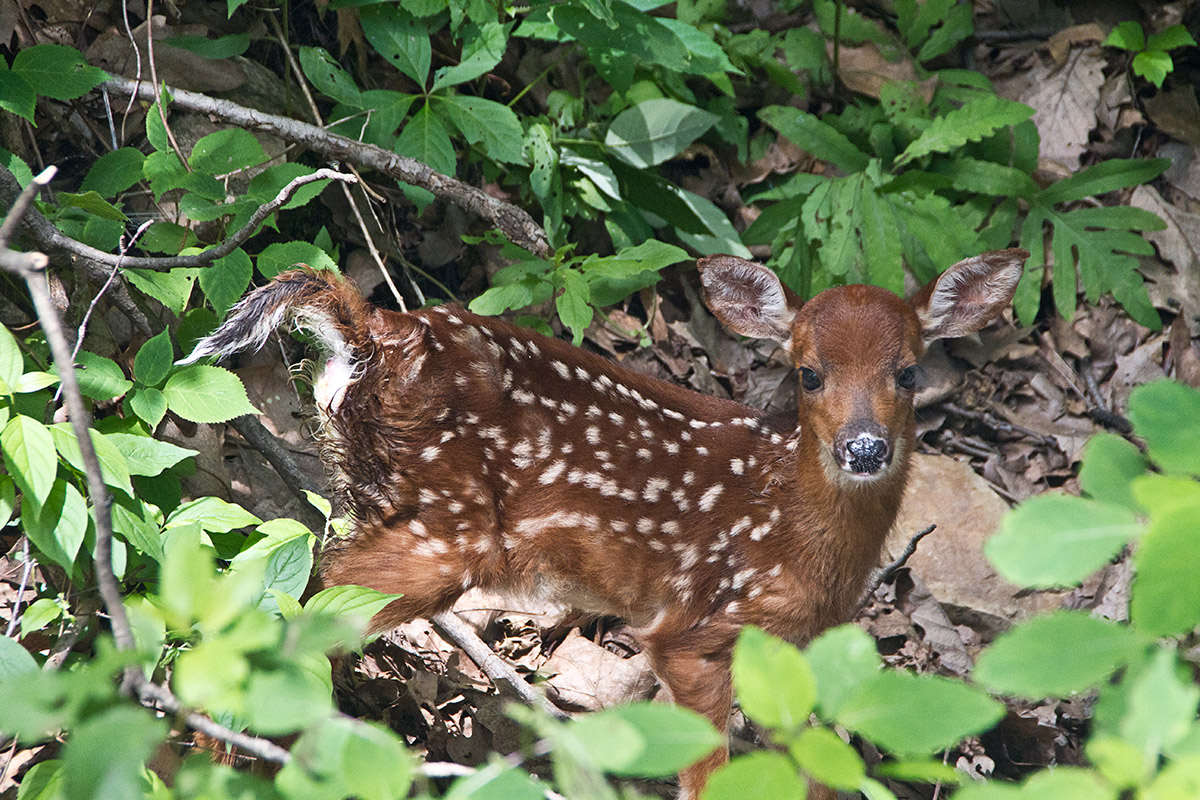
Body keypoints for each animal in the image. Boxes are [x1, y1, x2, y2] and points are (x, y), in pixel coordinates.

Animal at [184, 247, 1028, 797]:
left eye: (909, 371)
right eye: (809, 373)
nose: (864, 447)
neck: (796, 532)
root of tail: (369, 340)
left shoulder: (804, 646)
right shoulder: (694, 629)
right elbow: (708, 771)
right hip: (445, 529)